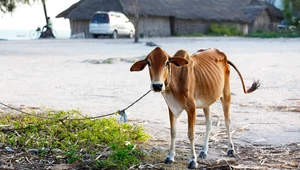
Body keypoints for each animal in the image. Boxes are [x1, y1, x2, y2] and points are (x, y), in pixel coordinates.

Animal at [130, 46, 258, 169]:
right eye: (149, 62)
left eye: (167, 62)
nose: (157, 85)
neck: (175, 80)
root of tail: (222, 54)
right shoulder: (171, 107)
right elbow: (173, 132)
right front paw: (170, 157)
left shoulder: (191, 108)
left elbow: (191, 134)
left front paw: (192, 161)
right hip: (207, 101)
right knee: (209, 124)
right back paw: (204, 151)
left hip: (226, 94)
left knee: (227, 122)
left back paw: (230, 149)